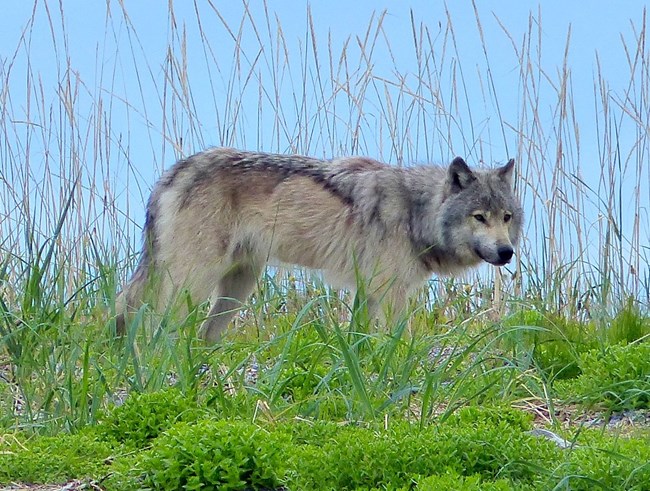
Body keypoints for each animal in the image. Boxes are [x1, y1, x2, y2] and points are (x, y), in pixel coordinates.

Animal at [115, 148, 523, 343]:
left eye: (506, 217)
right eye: (479, 217)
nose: (506, 253)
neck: (414, 211)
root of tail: (176, 171)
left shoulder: (368, 292)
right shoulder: (390, 293)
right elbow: (402, 340)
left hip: (237, 286)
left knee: (200, 333)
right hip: (193, 282)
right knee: (152, 319)